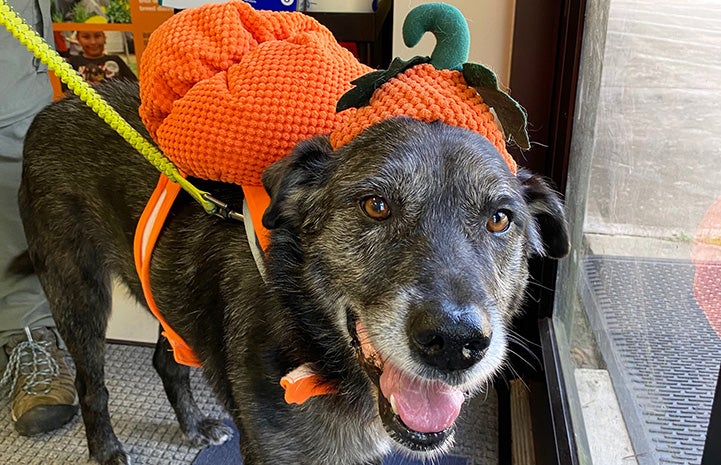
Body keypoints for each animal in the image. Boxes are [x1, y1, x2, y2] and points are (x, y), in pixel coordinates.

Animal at [15, 80, 568, 464]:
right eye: (375, 206)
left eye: (500, 219)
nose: (455, 343)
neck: (308, 337)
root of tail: (54, 107)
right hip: (77, 292)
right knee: (92, 383)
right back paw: (106, 449)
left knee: (167, 361)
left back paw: (194, 426)